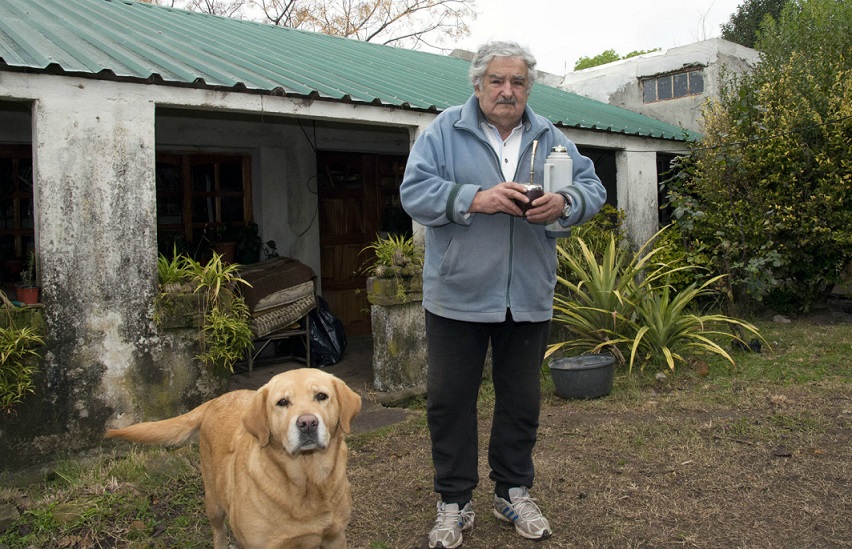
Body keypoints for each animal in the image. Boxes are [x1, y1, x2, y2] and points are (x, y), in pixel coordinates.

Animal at [105, 366, 362, 548]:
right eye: (282, 402)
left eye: (321, 396)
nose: (307, 423)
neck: (307, 483)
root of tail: (218, 398)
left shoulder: (335, 538)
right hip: (213, 502)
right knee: (217, 532)